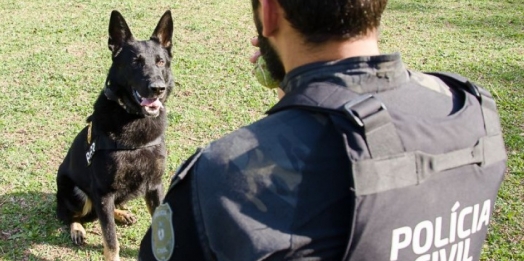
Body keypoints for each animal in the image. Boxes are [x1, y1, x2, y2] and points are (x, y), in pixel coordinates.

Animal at [56, 10, 174, 260]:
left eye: (160, 61)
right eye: (135, 62)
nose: (157, 88)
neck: (132, 117)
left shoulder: (155, 185)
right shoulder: (103, 192)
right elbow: (111, 240)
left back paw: (121, 213)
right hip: (76, 194)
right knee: (69, 215)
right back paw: (77, 229)